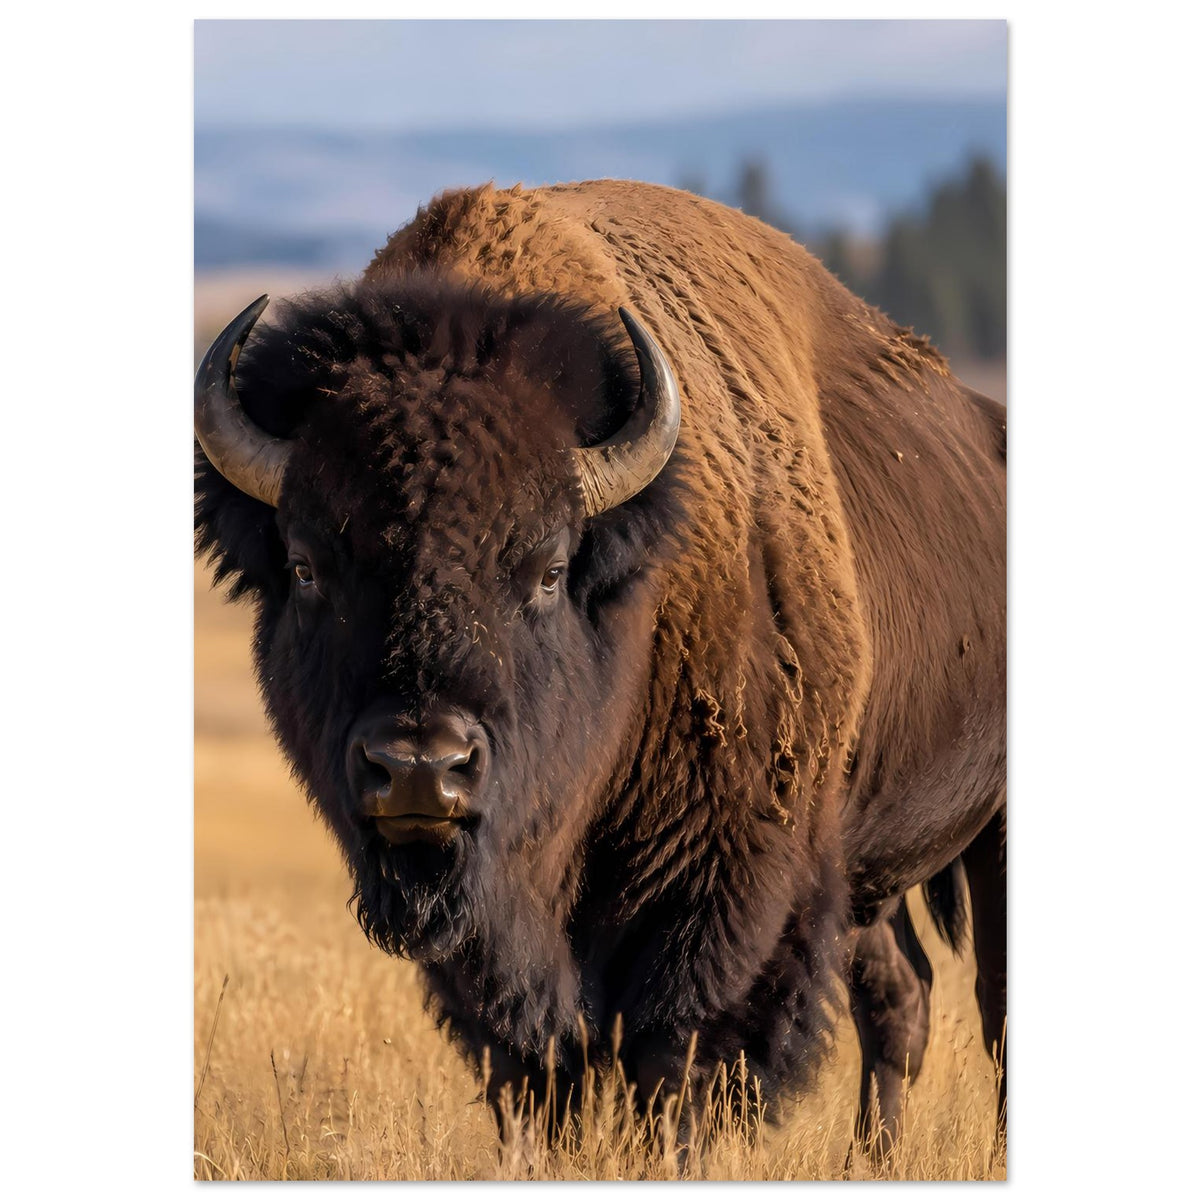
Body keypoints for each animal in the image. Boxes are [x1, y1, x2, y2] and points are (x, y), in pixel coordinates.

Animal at [194, 180, 1006, 1153]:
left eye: (547, 568)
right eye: (308, 566)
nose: (421, 769)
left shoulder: (722, 892)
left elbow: (676, 1062)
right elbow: (538, 1069)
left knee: (990, 1004)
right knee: (900, 993)